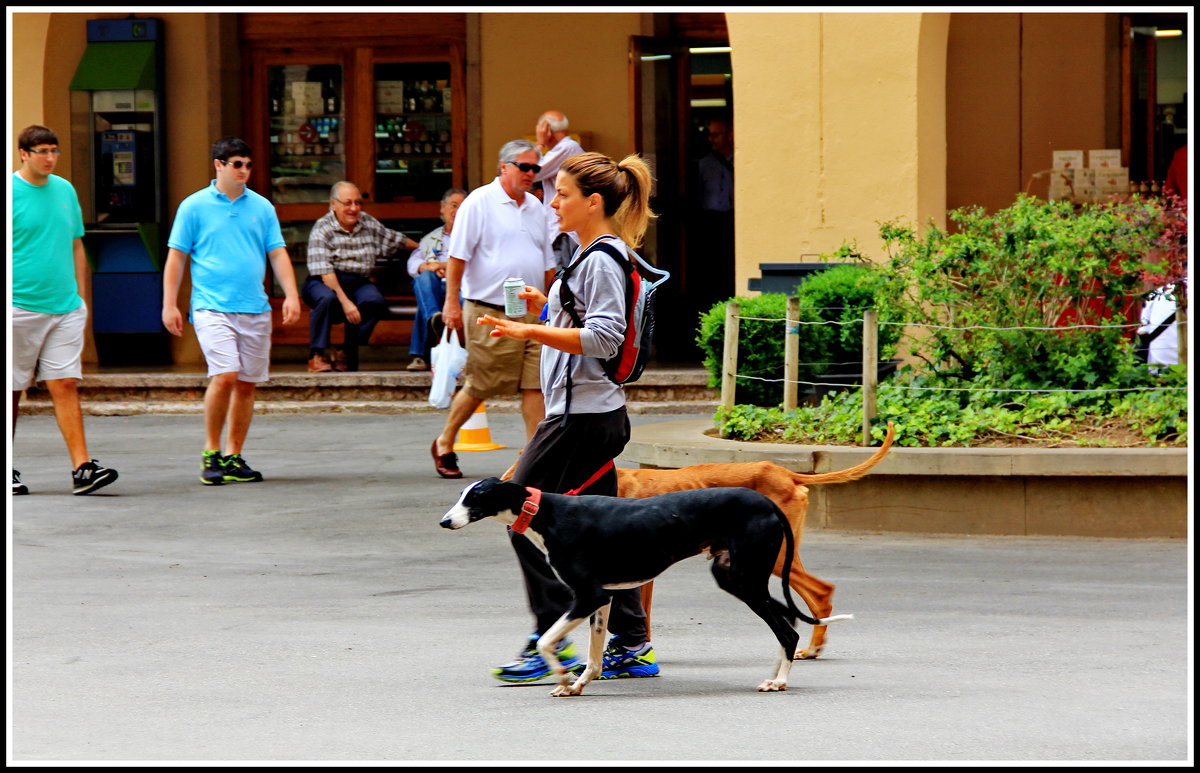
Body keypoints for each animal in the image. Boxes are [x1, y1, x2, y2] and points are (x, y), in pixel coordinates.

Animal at [436, 472, 849, 696]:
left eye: (477, 496)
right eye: (462, 494)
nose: (444, 522)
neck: (548, 513)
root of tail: (767, 503)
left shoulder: (588, 595)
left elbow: (548, 641)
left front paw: (563, 678)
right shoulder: (603, 599)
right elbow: (593, 654)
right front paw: (578, 684)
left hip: (748, 578)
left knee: (787, 629)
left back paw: (779, 682)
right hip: (737, 578)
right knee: (786, 621)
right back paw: (777, 675)